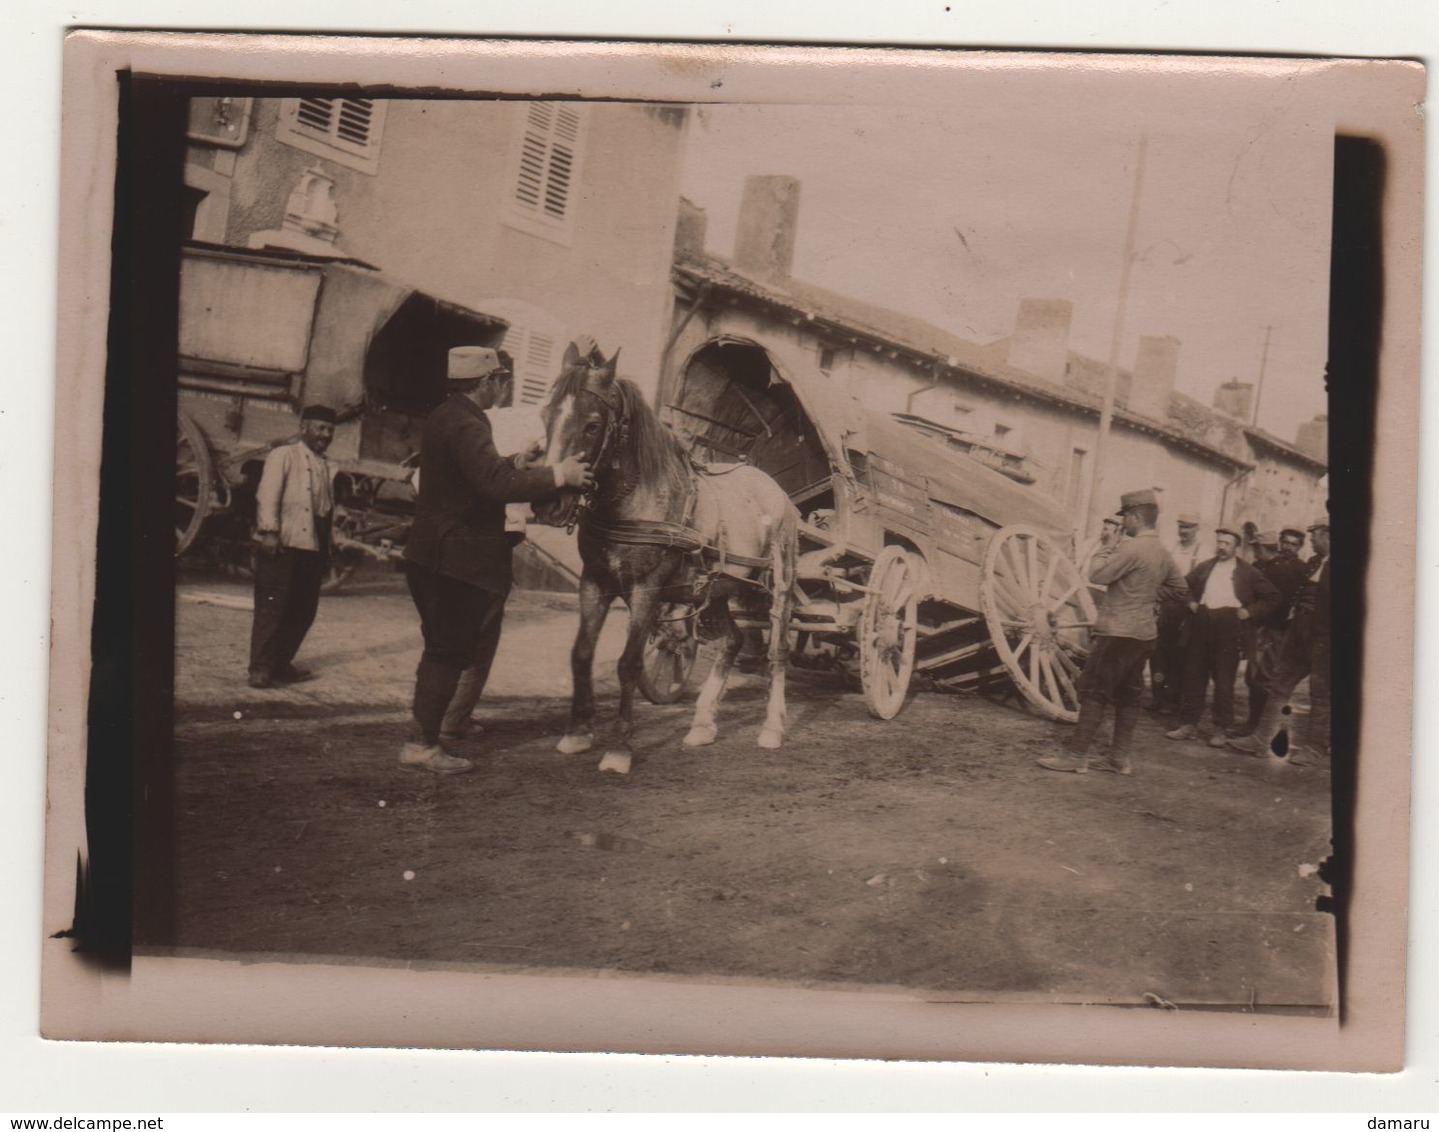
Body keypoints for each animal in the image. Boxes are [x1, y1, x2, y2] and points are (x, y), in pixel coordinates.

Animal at [529, 345, 800, 776]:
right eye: (546, 414)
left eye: (592, 425)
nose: (547, 504)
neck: (636, 498)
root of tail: (776, 490)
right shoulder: (594, 582)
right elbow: (581, 653)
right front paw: (578, 732)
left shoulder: (647, 590)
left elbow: (629, 663)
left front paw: (619, 748)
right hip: (718, 588)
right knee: (732, 640)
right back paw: (703, 723)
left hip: (780, 587)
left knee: (778, 651)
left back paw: (772, 727)